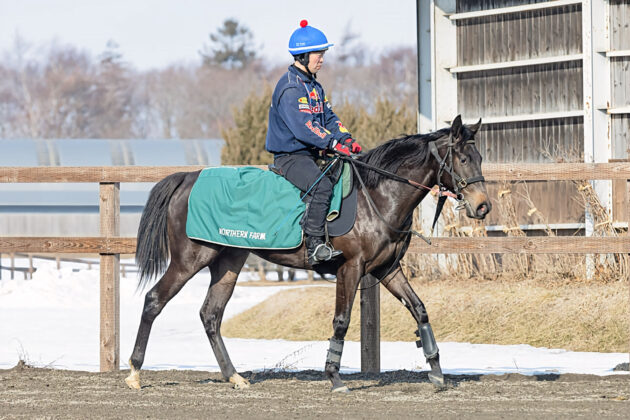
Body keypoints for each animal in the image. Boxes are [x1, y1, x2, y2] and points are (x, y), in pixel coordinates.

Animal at [126, 114, 494, 390]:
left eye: (479, 158)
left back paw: (234, 377)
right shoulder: (350, 268)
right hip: (190, 259)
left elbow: (420, 310)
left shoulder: (387, 269)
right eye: (463, 158)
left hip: (228, 261)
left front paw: (436, 371)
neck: (377, 194)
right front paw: (334, 377)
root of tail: (188, 177)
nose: (483, 207)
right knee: (154, 300)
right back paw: (134, 372)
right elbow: (342, 321)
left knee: (211, 315)